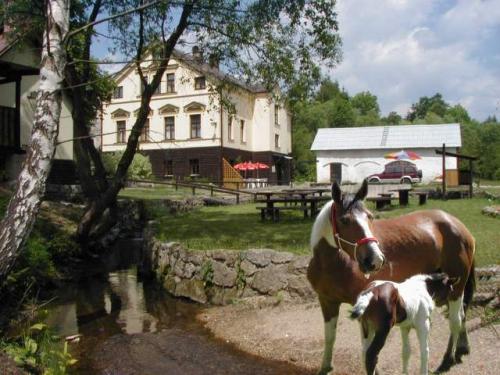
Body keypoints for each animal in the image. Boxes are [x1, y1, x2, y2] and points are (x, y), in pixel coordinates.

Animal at [306, 181, 474, 374]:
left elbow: (366, 350)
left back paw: (447, 359)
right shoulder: (327, 302)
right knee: (462, 314)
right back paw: (461, 348)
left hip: (456, 289)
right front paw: (325, 366)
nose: (375, 260)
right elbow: (330, 337)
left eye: (370, 217)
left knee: (455, 321)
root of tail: (458, 225)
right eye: (344, 220)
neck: (332, 263)